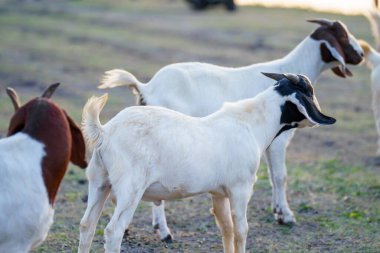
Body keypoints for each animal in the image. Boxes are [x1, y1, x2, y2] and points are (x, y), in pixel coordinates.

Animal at [78, 72, 336, 253]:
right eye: (309, 92)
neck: (251, 124)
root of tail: (105, 132)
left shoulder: (218, 193)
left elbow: (226, 230)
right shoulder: (241, 189)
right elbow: (241, 230)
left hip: (99, 182)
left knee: (86, 225)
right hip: (130, 189)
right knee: (113, 231)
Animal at [97, 18, 362, 239]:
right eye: (343, 35)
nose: (360, 54)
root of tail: (146, 87)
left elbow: (274, 176)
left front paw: (278, 210)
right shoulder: (278, 141)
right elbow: (280, 176)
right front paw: (286, 216)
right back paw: (163, 231)